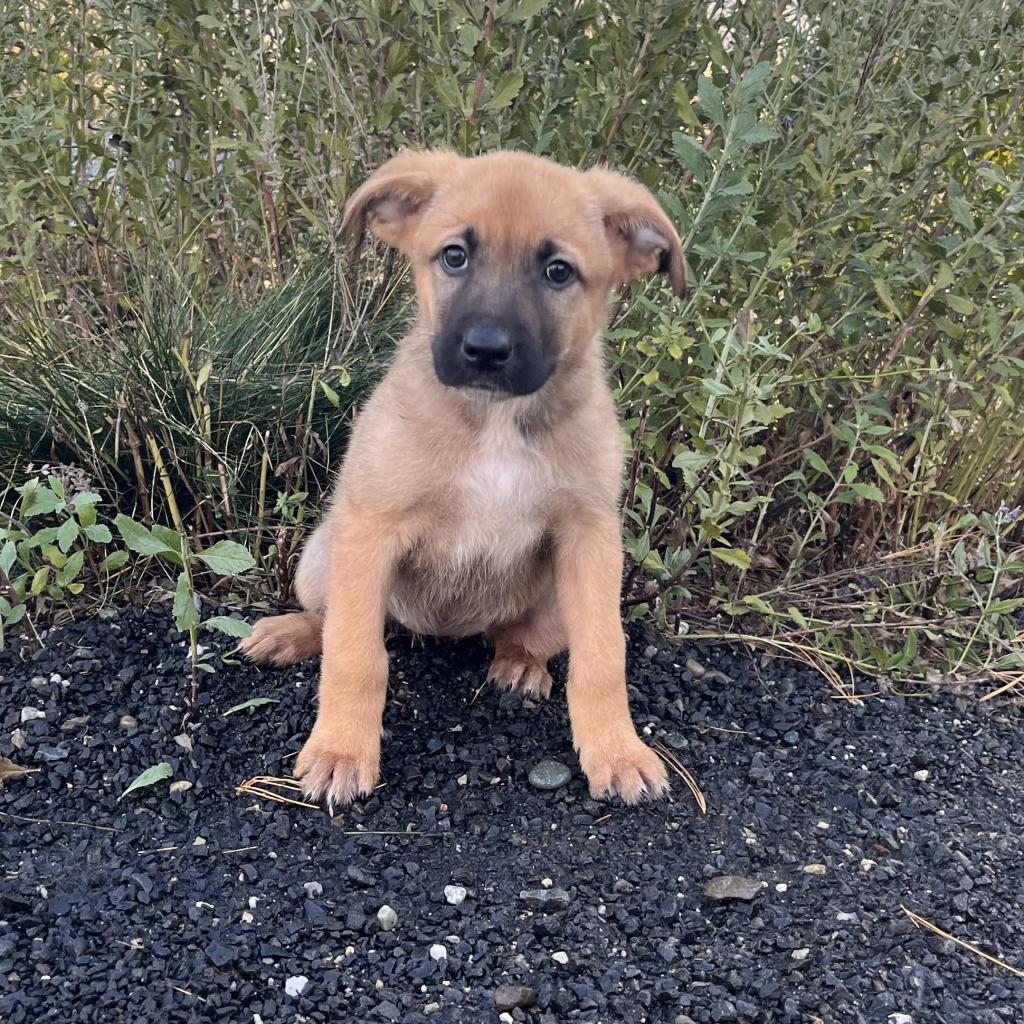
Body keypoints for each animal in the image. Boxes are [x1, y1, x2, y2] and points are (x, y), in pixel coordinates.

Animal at [239, 149, 688, 806]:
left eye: (558, 272)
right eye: (455, 256)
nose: (485, 351)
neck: (494, 418)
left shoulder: (590, 537)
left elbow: (604, 659)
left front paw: (617, 752)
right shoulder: (371, 530)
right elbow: (355, 656)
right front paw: (342, 750)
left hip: (560, 593)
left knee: (526, 637)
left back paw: (520, 663)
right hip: (323, 556)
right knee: (336, 622)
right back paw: (289, 634)